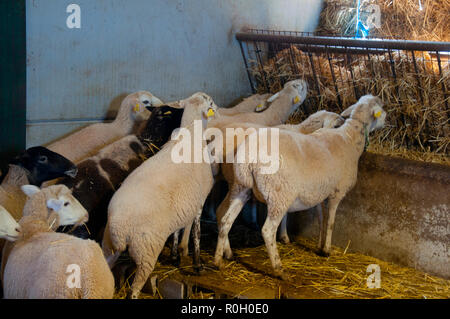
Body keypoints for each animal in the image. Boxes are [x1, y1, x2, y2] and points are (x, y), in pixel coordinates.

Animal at [103, 92, 220, 300]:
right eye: (211, 102)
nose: (219, 109)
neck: (190, 136)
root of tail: (119, 228)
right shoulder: (199, 202)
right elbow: (196, 235)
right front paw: (197, 265)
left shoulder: (182, 205)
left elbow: (176, 232)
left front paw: (174, 256)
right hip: (146, 251)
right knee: (134, 289)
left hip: (108, 246)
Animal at [214, 95, 386, 280]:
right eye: (380, 107)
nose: (386, 119)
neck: (350, 138)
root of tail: (249, 157)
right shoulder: (337, 192)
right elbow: (331, 221)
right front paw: (326, 249)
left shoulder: (319, 190)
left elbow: (321, 216)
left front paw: (318, 245)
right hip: (279, 193)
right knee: (267, 230)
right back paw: (279, 269)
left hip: (242, 187)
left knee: (225, 219)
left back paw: (219, 260)